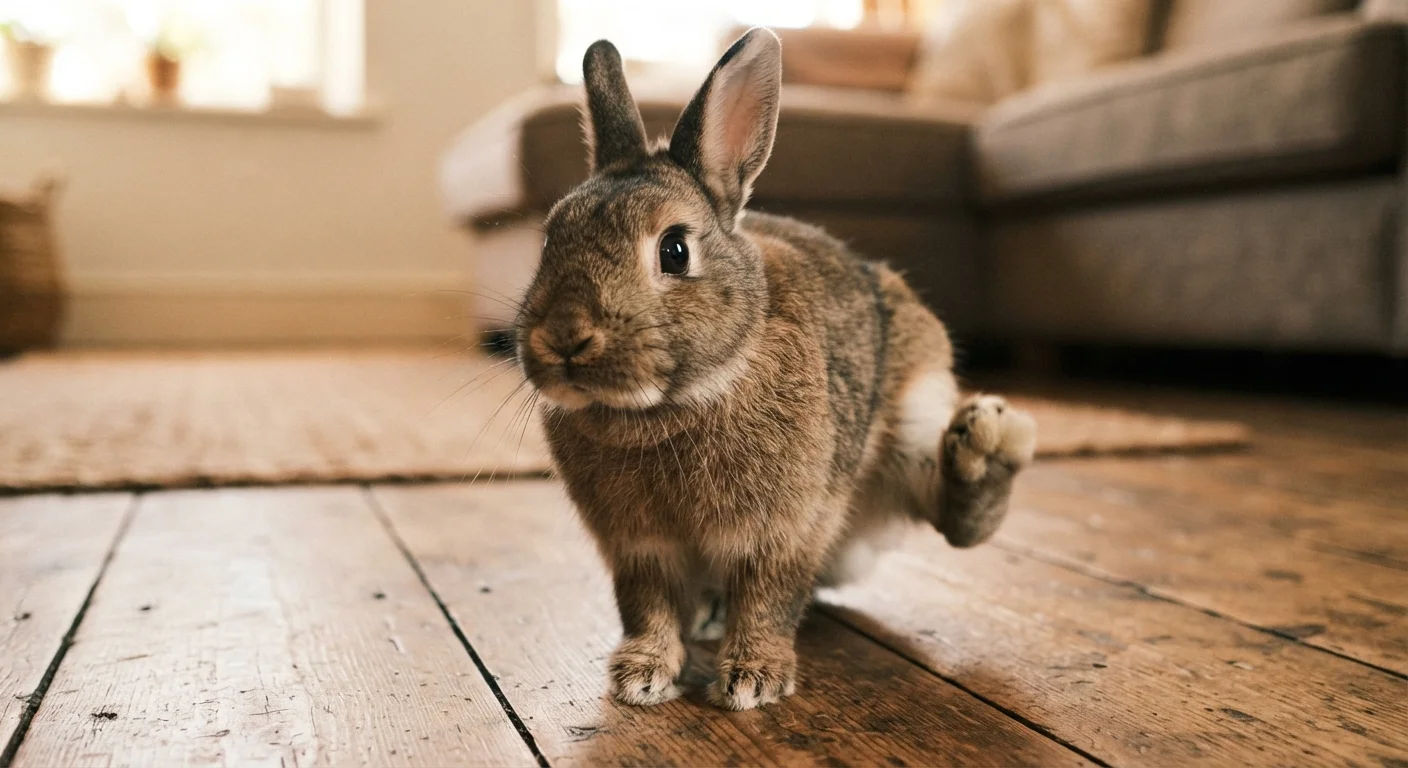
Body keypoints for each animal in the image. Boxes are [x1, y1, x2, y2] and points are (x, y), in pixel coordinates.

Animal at [512, 28, 1037, 711]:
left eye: (674, 250)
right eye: (550, 239)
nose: (565, 339)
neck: (666, 407)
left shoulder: (788, 529)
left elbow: (770, 596)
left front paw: (753, 679)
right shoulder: (636, 547)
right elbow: (646, 605)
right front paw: (640, 675)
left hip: (915, 423)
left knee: (957, 517)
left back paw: (988, 440)